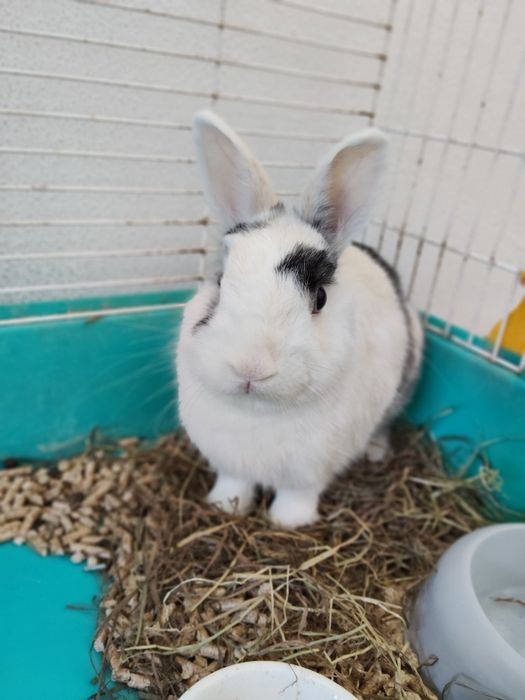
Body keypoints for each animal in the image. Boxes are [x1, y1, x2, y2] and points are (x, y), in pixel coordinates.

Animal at [176, 110, 424, 528]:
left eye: (320, 297)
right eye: (220, 281)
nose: (250, 367)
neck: (258, 412)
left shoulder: (310, 471)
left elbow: (297, 496)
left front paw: (287, 523)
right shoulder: (229, 462)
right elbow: (234, 484)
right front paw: (224, 507)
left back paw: (376, 452)